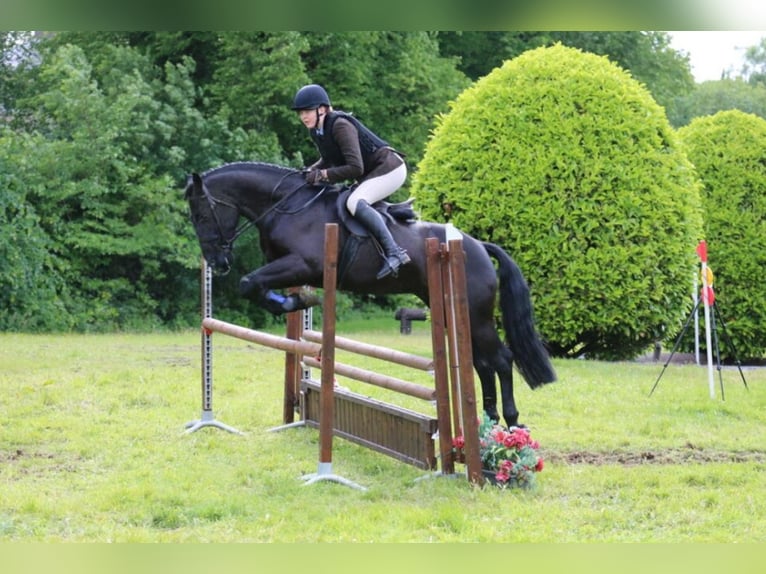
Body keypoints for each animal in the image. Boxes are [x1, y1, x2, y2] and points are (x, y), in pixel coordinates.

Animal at [184, 161, 556, 428]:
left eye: (202, 215)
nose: (217, 263)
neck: (286, 206)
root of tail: (477, 246)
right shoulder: (290, 267)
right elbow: (255, 285)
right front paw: (294, 302)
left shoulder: (302, 264)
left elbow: (249, 283)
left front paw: (297, 301)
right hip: (453, 313)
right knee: (481, 362)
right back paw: (489, 421)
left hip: (475, 315)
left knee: (500, 359)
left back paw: (510, 422)